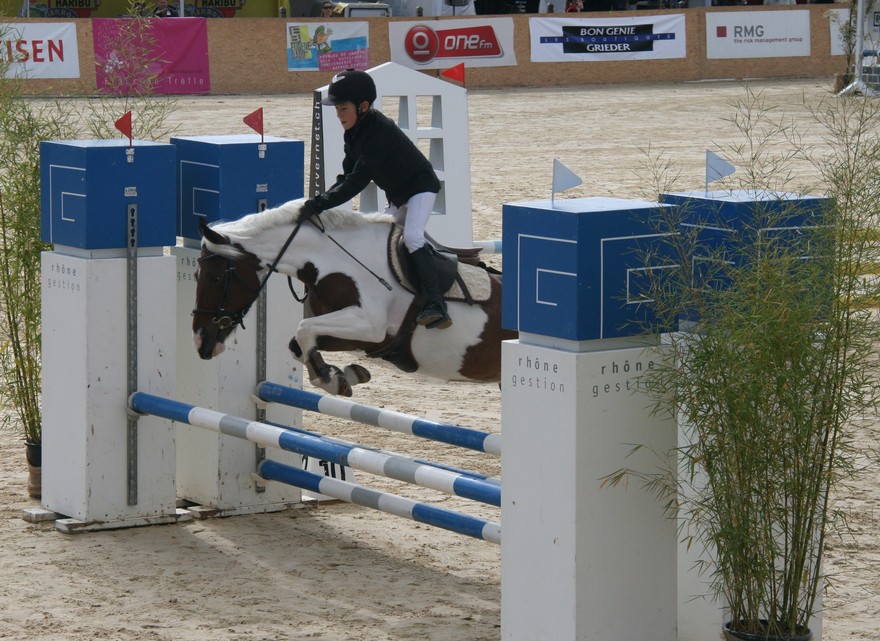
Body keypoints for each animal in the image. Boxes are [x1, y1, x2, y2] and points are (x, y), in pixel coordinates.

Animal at [192, 198, 516, 397]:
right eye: (196, 276)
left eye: (215, 278)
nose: (201, 343)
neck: (332, 259)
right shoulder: (360, 338)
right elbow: (298, 344)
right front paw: (344, 377)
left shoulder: (369, 326)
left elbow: (303, 329)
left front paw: (330, 377)